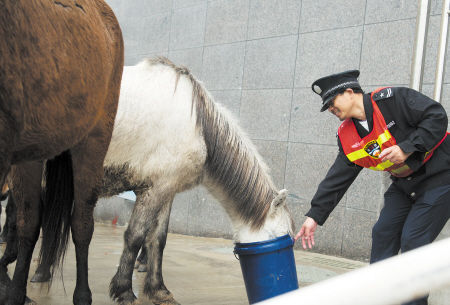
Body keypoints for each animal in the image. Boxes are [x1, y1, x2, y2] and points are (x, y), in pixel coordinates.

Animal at [0, 1, 123, 302]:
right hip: (30, 156)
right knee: (30, 221)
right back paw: (16, 292)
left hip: (93, 140)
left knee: (81, 223)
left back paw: (82, 295)